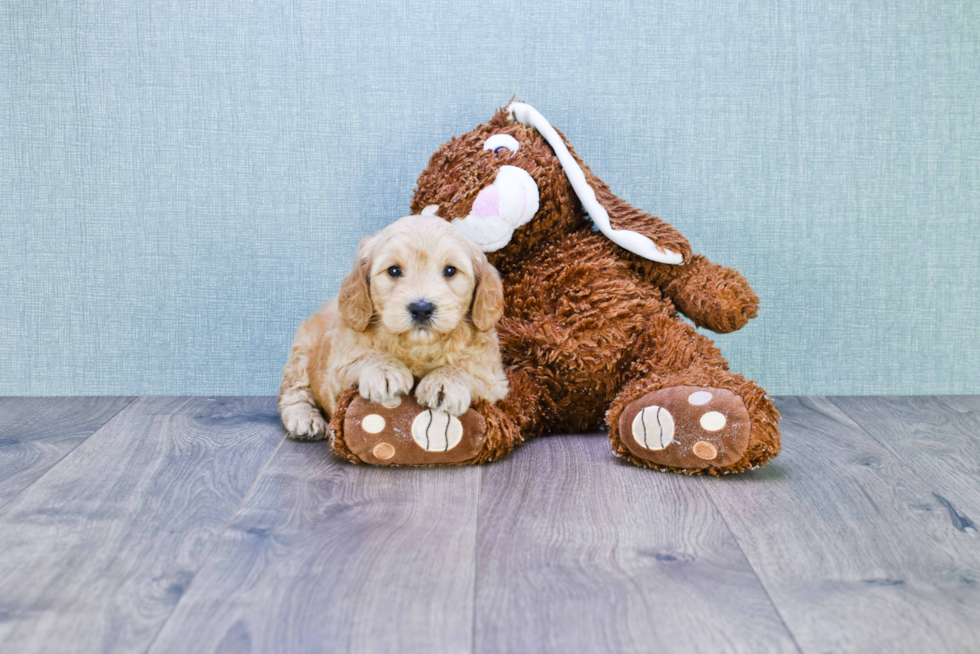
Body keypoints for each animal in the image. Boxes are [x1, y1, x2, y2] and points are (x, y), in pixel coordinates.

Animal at [276, 217, 506, 440]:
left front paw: (444, 382)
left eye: (450, 270)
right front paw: (384, 370)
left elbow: (472, 371)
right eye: (394, 271)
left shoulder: (495, 379)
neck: (418, 346)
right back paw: (305, 419)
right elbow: (364, 357)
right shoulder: (337, 369)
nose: (421, 308)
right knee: (293, 391)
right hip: (302, 350)